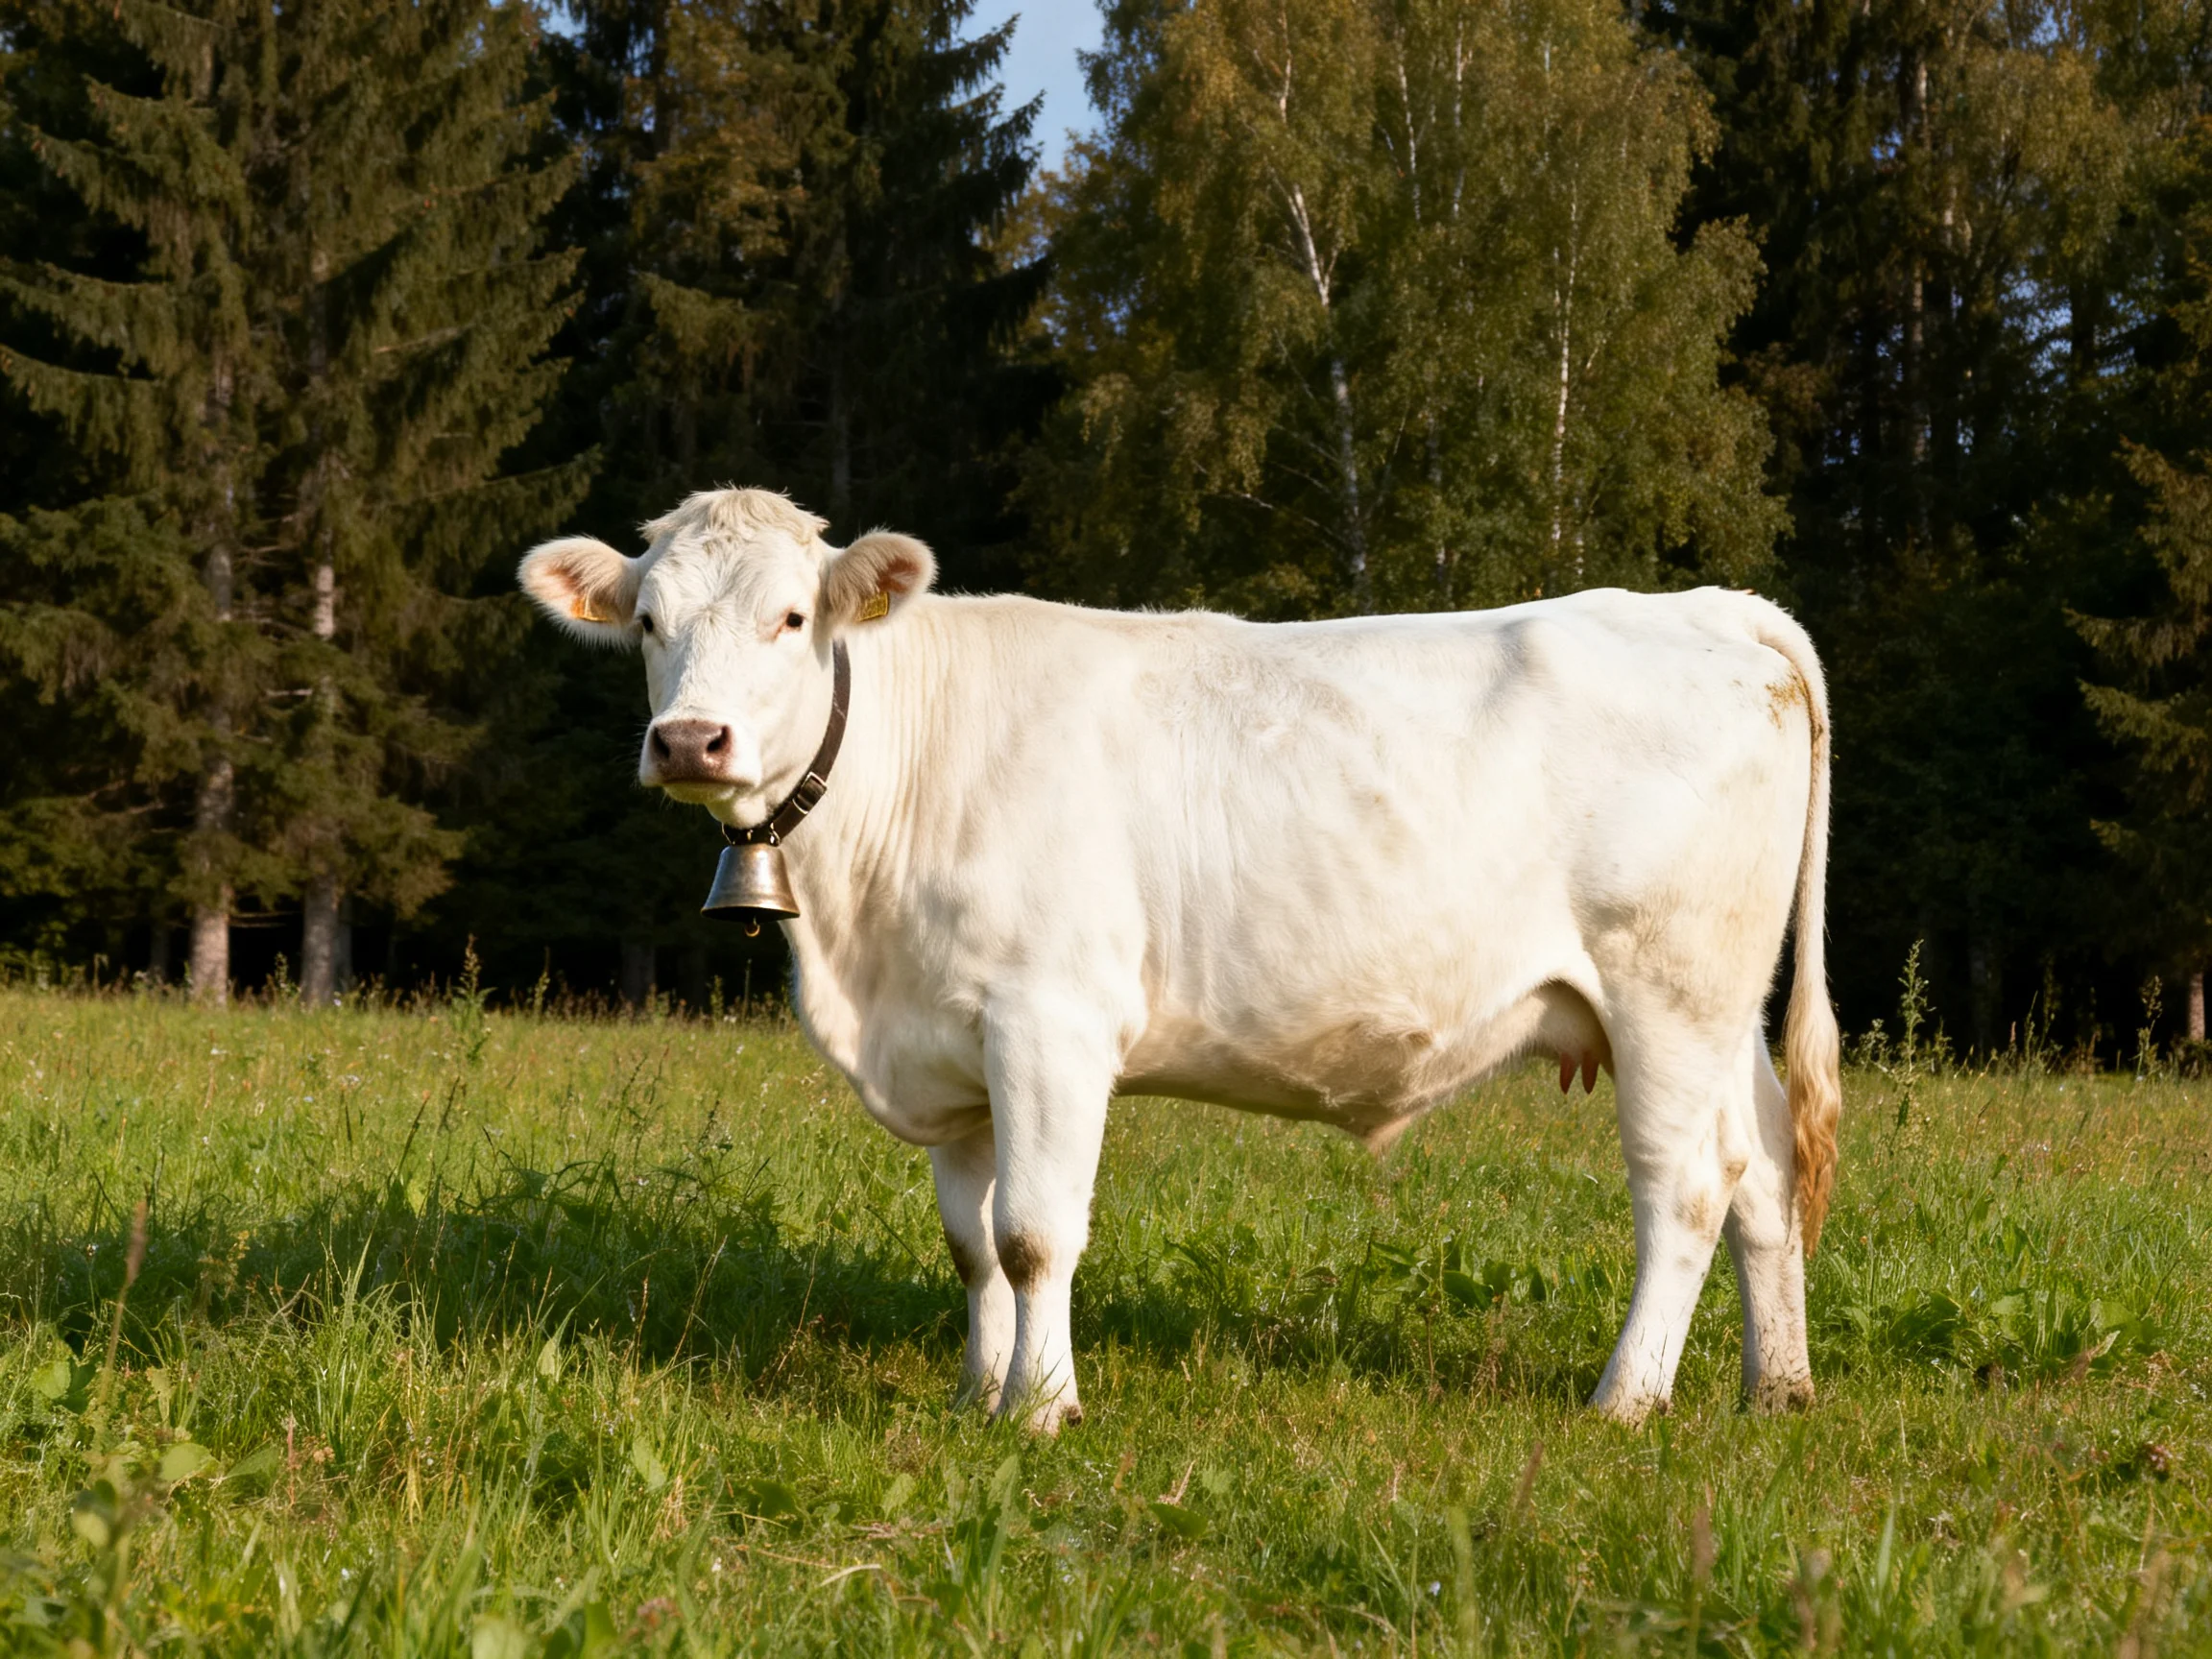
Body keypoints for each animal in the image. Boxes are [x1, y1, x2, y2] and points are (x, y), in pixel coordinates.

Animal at [520, 488, 1842, 1432]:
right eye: (649, 624)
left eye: (792, 618)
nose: (691, 740)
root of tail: (1709, 606)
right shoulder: (949, 1049)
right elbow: (970, 1242)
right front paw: (974, 1394)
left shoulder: (1049, 1019)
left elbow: (1036, 1231)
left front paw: (1041, 1409)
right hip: (1722, 1009)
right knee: (1765, 1173)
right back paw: (1775, 1388)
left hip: (1666, 991)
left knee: (1684, 1188)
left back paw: (1626, 1399)